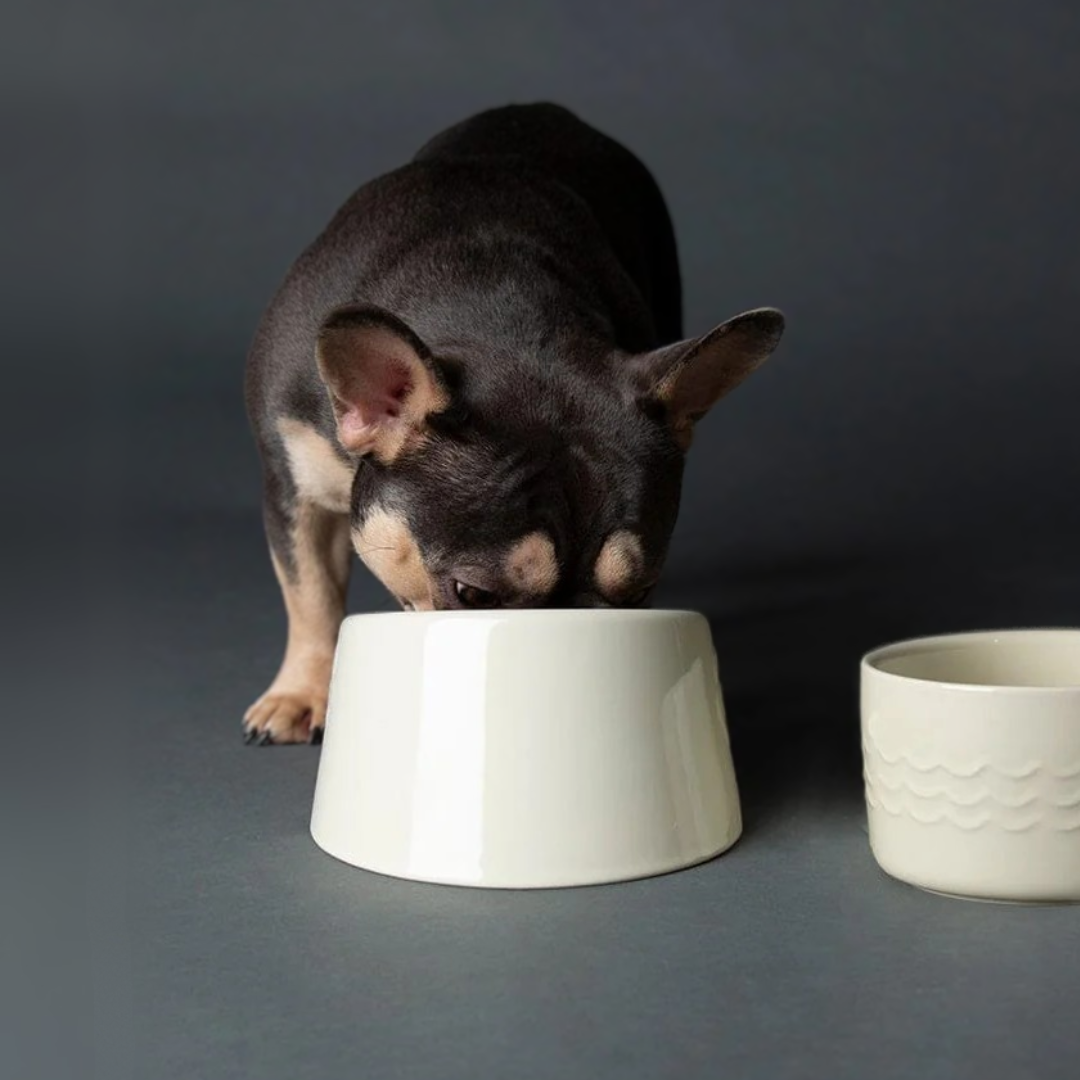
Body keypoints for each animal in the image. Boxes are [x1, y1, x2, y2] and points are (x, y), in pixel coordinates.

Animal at [243, 103, 786, 743]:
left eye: (641, 592)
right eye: (473, 594)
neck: (495, 315)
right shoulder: (293, 482)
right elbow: (310, 591)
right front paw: (303, 691)